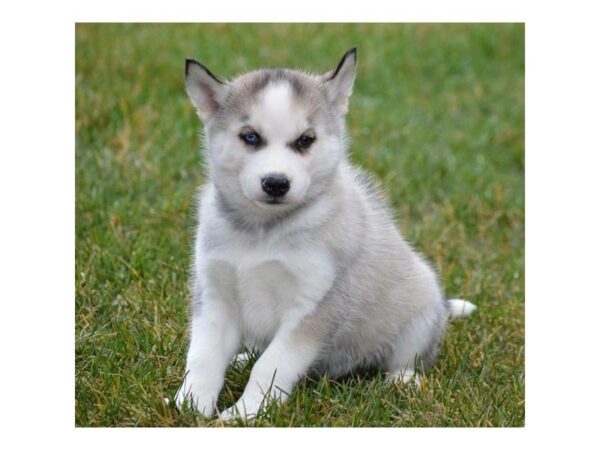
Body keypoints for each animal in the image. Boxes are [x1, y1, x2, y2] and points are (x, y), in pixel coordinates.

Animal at [176, 47, 476, 420]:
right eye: (250, 137)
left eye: (305, 140)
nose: (276, 183)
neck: (263, 233)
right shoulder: (215, 295)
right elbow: (203, 357)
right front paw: (190, 404)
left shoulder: (315, 305)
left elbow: (271, 365)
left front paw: (245, 413)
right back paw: (241, 358)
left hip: (418, 311)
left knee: (409, 358)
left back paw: (402, 380)